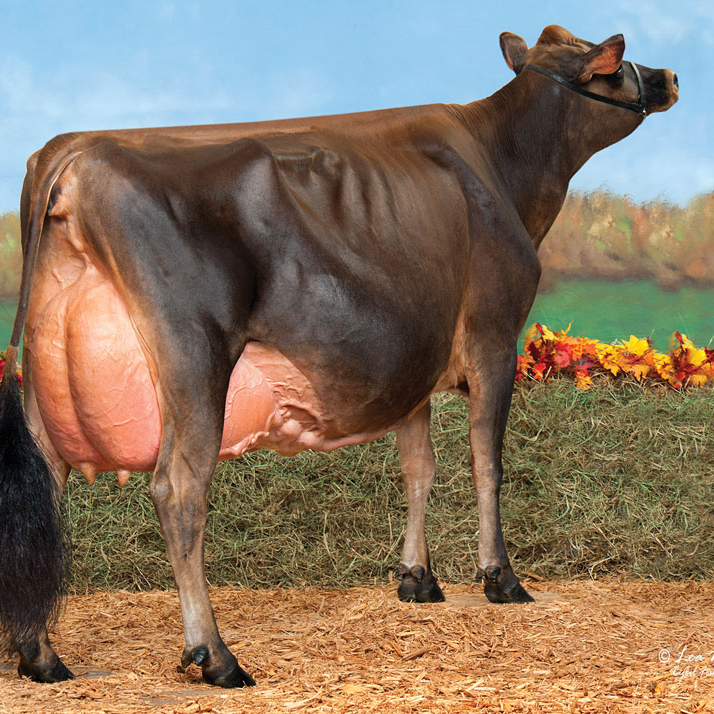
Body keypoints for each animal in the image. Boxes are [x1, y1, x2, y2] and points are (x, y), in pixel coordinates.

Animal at [0, 25, 677, 687]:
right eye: (610, 64)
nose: (670, 76)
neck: (502, 166)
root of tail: (75, 151)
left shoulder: (414, 358)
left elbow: (419, 467)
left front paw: (417, 578)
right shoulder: (493, 338)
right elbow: (487, 463)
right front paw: (501, 579)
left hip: (47, 373)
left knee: (44, 487)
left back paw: (39, 654)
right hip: (194, 357)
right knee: (179, 490)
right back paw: (216, 655)